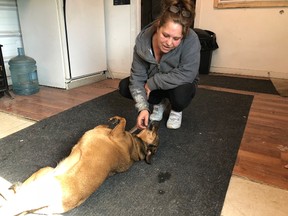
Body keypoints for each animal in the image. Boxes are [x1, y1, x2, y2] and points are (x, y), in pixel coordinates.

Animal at [0, 115, 160, 215]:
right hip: (44, 171)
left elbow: (123, 120)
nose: (156, 123)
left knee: (10, 200)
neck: (136, 147)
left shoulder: (117, 133)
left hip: (33, 191)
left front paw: (115, 120)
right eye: (156, 133)